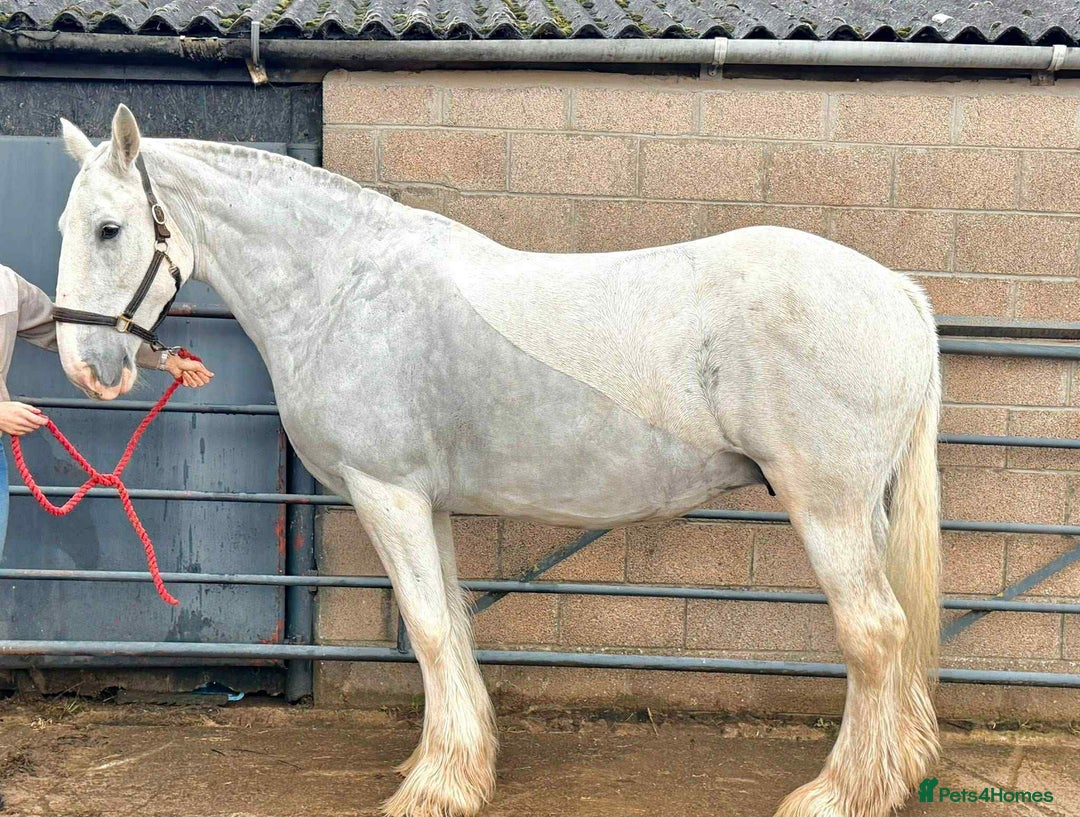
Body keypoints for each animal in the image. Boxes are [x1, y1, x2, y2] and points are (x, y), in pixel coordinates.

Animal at [53, 104, 941, 817]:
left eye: (109, 228)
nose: (86, 368)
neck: (344, 287)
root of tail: (896, 290)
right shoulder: (429, 501)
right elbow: (450, 620)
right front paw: (454, 762)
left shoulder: (388, 494)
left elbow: (428, 627)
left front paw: (436, 787)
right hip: (862, 509)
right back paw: (893, 774)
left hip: (824, 507)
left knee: (872, 630)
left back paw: (842, 792)